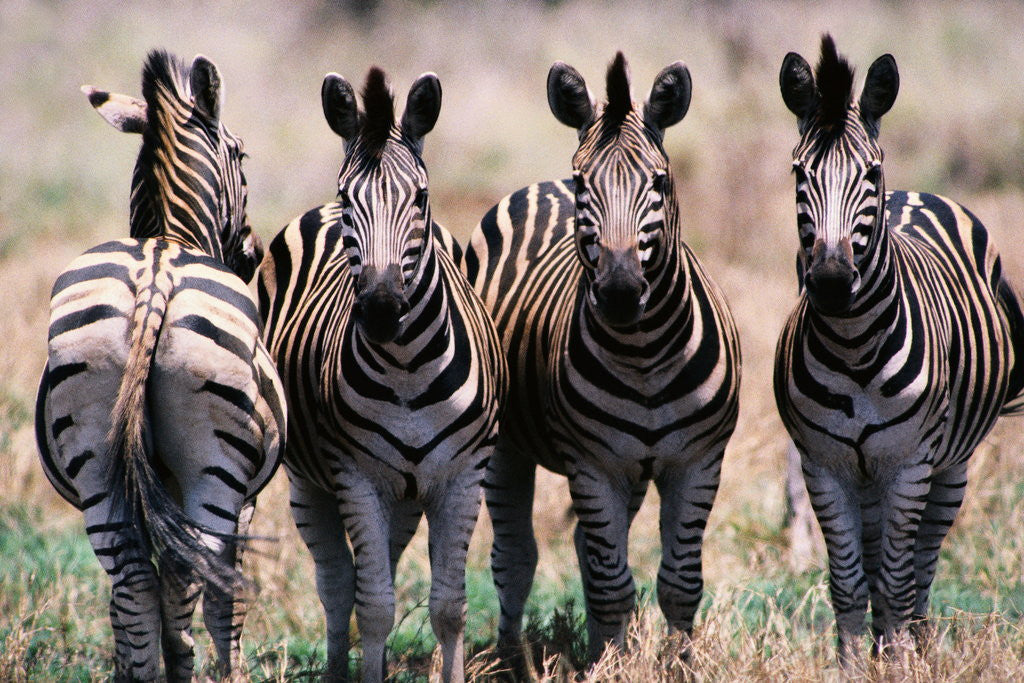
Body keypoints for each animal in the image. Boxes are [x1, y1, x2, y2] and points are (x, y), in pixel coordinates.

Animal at [34, 51, 285, 681]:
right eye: (243, 155)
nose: (252, 253)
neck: (169, 234)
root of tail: (156, 275)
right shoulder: (247, 500)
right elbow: (219, 596)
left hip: (97, 459)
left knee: (132, 582)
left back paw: (153, 669)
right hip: (215, 469)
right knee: (194, 577)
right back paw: (192, 664)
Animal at [257, 67, 507, 682]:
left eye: (421, 198)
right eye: (350, 198)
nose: (380, 308)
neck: (407, 369)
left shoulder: (463, 476)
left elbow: (448, 606)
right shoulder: (355, 477)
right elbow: (370, 605)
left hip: (408, 496)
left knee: (381, 570)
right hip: (310, 484)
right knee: (337, 585)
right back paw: (336, 670)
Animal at [465, 53, 742, 667]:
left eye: (659, 181)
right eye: (582, 181)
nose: (618, 291)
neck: (645, 354)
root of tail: (537, 187)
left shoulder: (698, 460)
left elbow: (680, 583)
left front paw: (675, 665)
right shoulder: (592, 463)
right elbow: (613, 584)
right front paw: (612, 667)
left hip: (632, 468)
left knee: (585, 549)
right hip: (510, 447)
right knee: (515, 557)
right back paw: (511, 660)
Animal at [774, 35, 1024, 666]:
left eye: (870, 172)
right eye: (799, 172)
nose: (831, 281)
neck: (854, 347)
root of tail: (915, 194)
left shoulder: (910, 465)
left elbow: (895, 578)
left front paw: (902, 665)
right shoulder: (823, 466)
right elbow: (849, 582)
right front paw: (852, 668)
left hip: (949, 465)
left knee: (922, 564)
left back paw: (918, 641)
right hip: (866, 475)